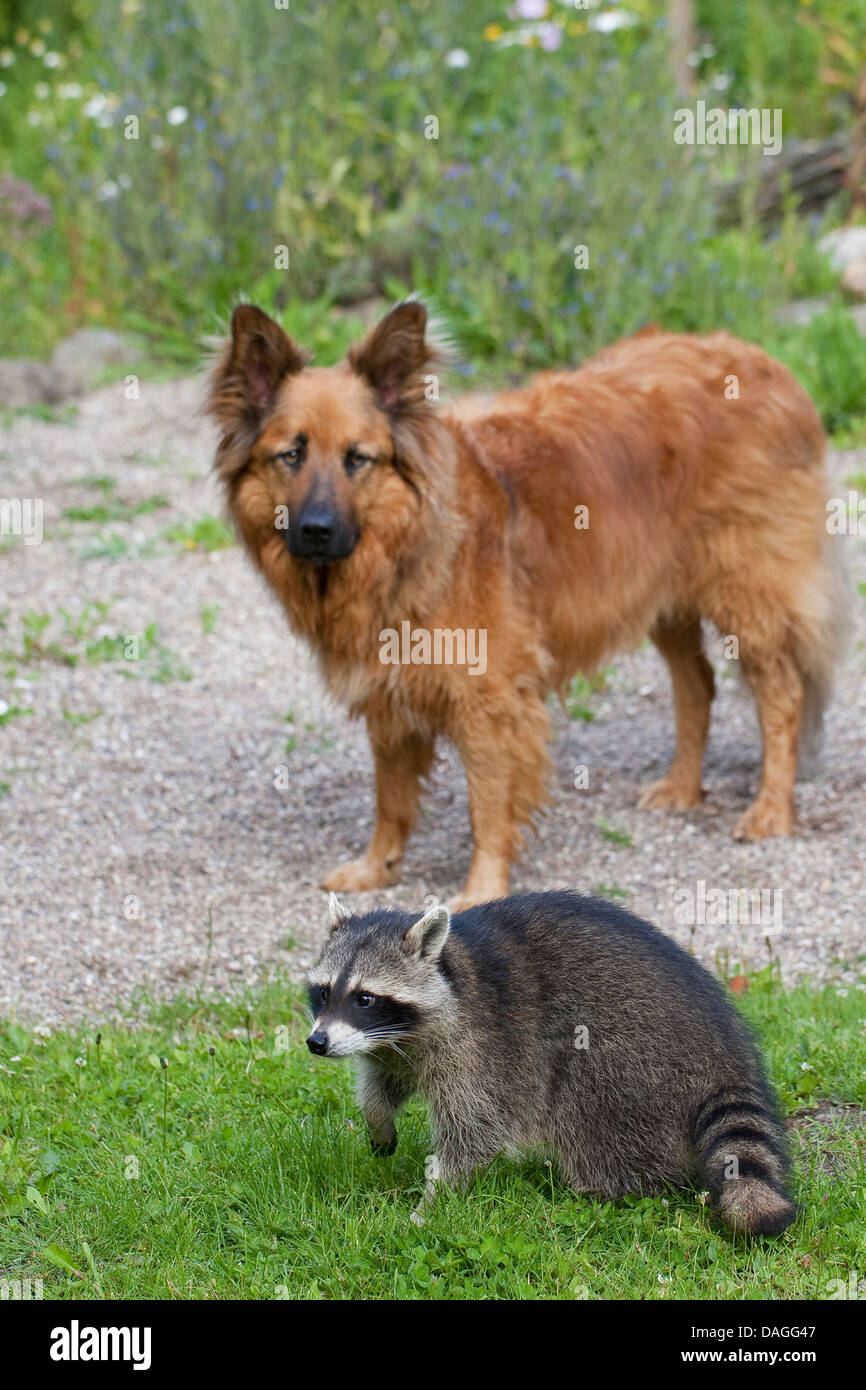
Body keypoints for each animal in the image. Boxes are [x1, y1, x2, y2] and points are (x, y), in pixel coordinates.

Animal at [208, 303, 845, 906]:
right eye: (291, 455)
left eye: (356, 458)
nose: (316, 531)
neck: (411, 543)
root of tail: (762, 361)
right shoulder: (390, 697)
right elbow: (390, 798)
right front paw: (377, 868)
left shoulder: (489, 699)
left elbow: (487, 806)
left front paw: (483, 889)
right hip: (661, 597)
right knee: (697, 685)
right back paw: (683, 788)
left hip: (745, 593)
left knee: (781, 694)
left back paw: (770, 809)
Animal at [308, 889, 795, 1239]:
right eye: (323, 992)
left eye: (365, 998)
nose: (316, 1043)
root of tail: (724, 1050)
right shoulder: (399, 1043)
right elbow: (386, 1078)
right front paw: (377, 1118)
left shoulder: (482, 1048)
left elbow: (476, 1131)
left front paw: (431, 1202)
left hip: (631, 1064)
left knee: (595, 1124)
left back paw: (606, 1190)